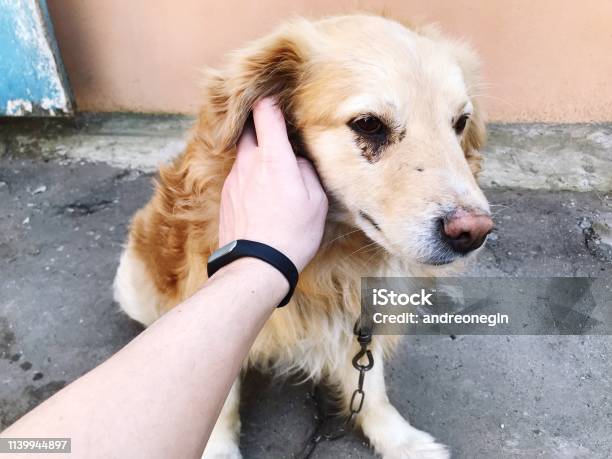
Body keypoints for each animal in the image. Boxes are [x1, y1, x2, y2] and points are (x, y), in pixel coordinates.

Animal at [113, 13, 492, 459]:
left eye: (460, 123)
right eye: (369, 124)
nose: (474, 232)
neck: (335, 257)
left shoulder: (363, 319)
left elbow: (372, 386)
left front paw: (399, 440)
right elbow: (218, 403)